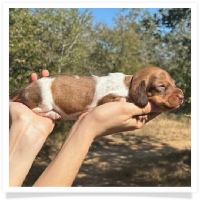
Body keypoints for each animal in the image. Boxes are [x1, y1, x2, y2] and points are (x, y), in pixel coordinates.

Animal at [9, 67, 184, 120]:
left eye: (174, 83)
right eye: (162, 86)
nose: (182, 96)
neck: (128, 83)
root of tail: (25, 87)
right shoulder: (107, 99)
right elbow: (121, 99)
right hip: (43, 101)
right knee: (35, 109)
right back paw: (53, 114)